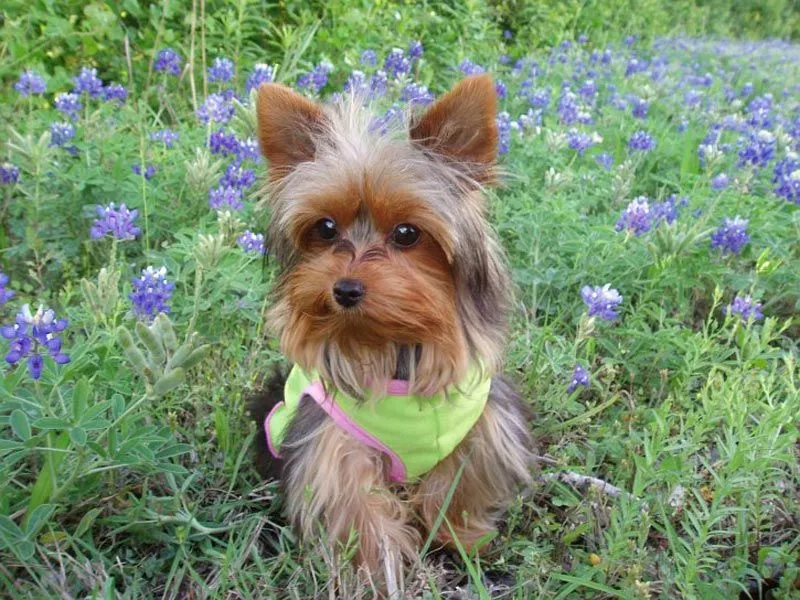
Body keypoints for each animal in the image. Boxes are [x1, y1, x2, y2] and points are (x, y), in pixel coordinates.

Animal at [248, 72, 536, 584]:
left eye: (407, 233)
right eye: (325, 228)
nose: (345, 289)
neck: (393, 343)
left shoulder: (481, 425)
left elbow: (460, 482)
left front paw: (459, 537)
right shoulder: (331, 441)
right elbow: (355, 505)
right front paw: (374, 568)